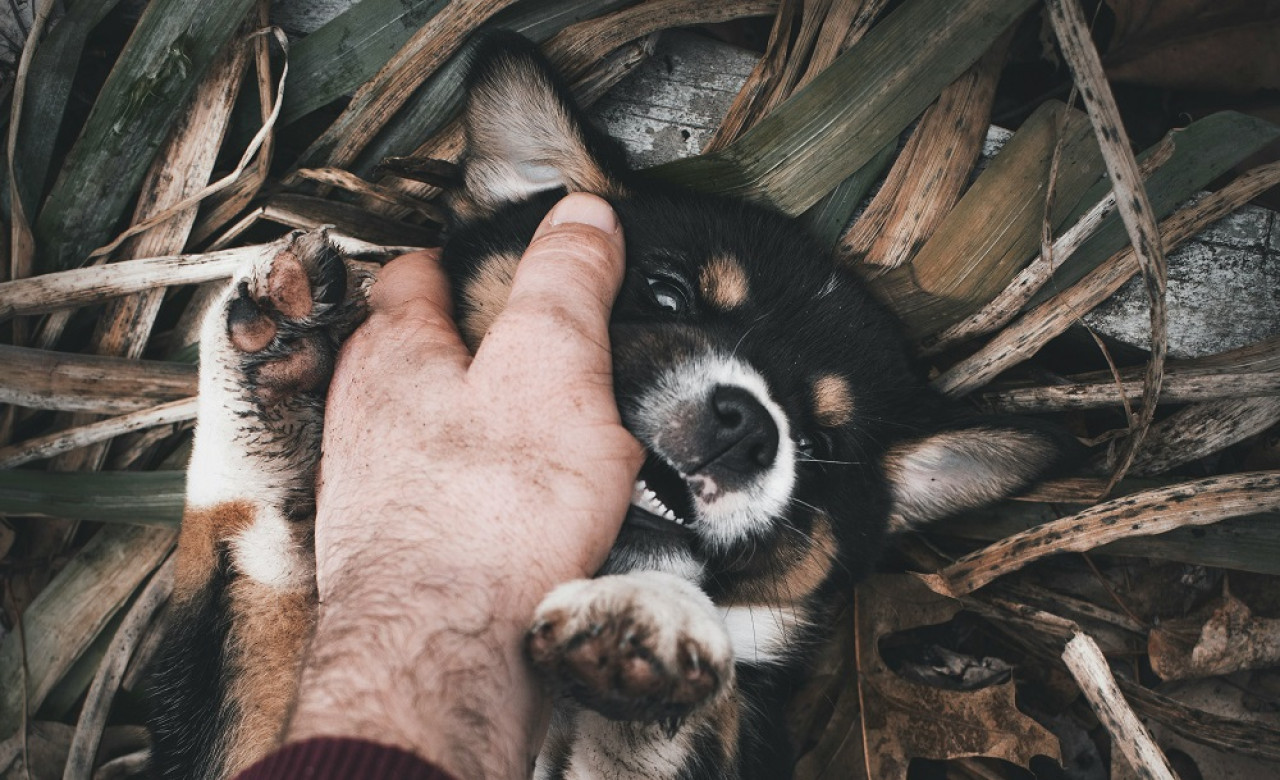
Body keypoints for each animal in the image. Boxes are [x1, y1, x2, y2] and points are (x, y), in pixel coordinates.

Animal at [145, 32, 1075, 778]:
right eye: (665, 294)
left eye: (816, 444)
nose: (749, 428)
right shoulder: (244, 732)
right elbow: (255, 572)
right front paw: (273, 375)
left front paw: (655, 621)